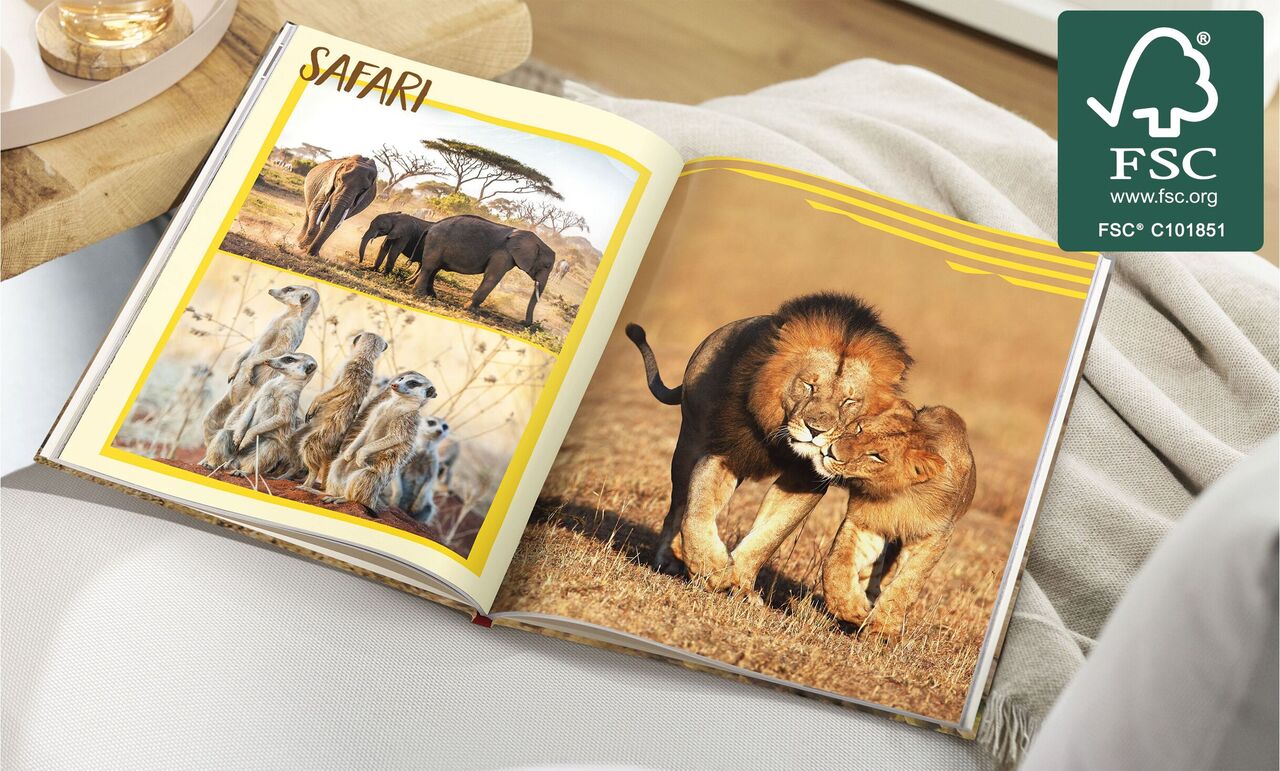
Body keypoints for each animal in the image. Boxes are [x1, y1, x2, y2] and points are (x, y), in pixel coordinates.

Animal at [625, 292, 911, 592]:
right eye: (809, 385)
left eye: (849, 401)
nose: (815, 430)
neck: (782, 441)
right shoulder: (725, 452)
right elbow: (698, 511)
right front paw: (710, 567)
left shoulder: (804, 479)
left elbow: (771, 534)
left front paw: (740, 584)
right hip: (689, 440)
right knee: (678, 505)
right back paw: (668, 558)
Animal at [818, 401, 976, 638]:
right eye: (859, 429)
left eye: (877, 456)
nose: (830, 452)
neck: (899, 496)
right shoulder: (867, 523)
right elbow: (835, 565)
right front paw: (854, 610)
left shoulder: (934, 536)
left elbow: (907, 583)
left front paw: (882, 631)